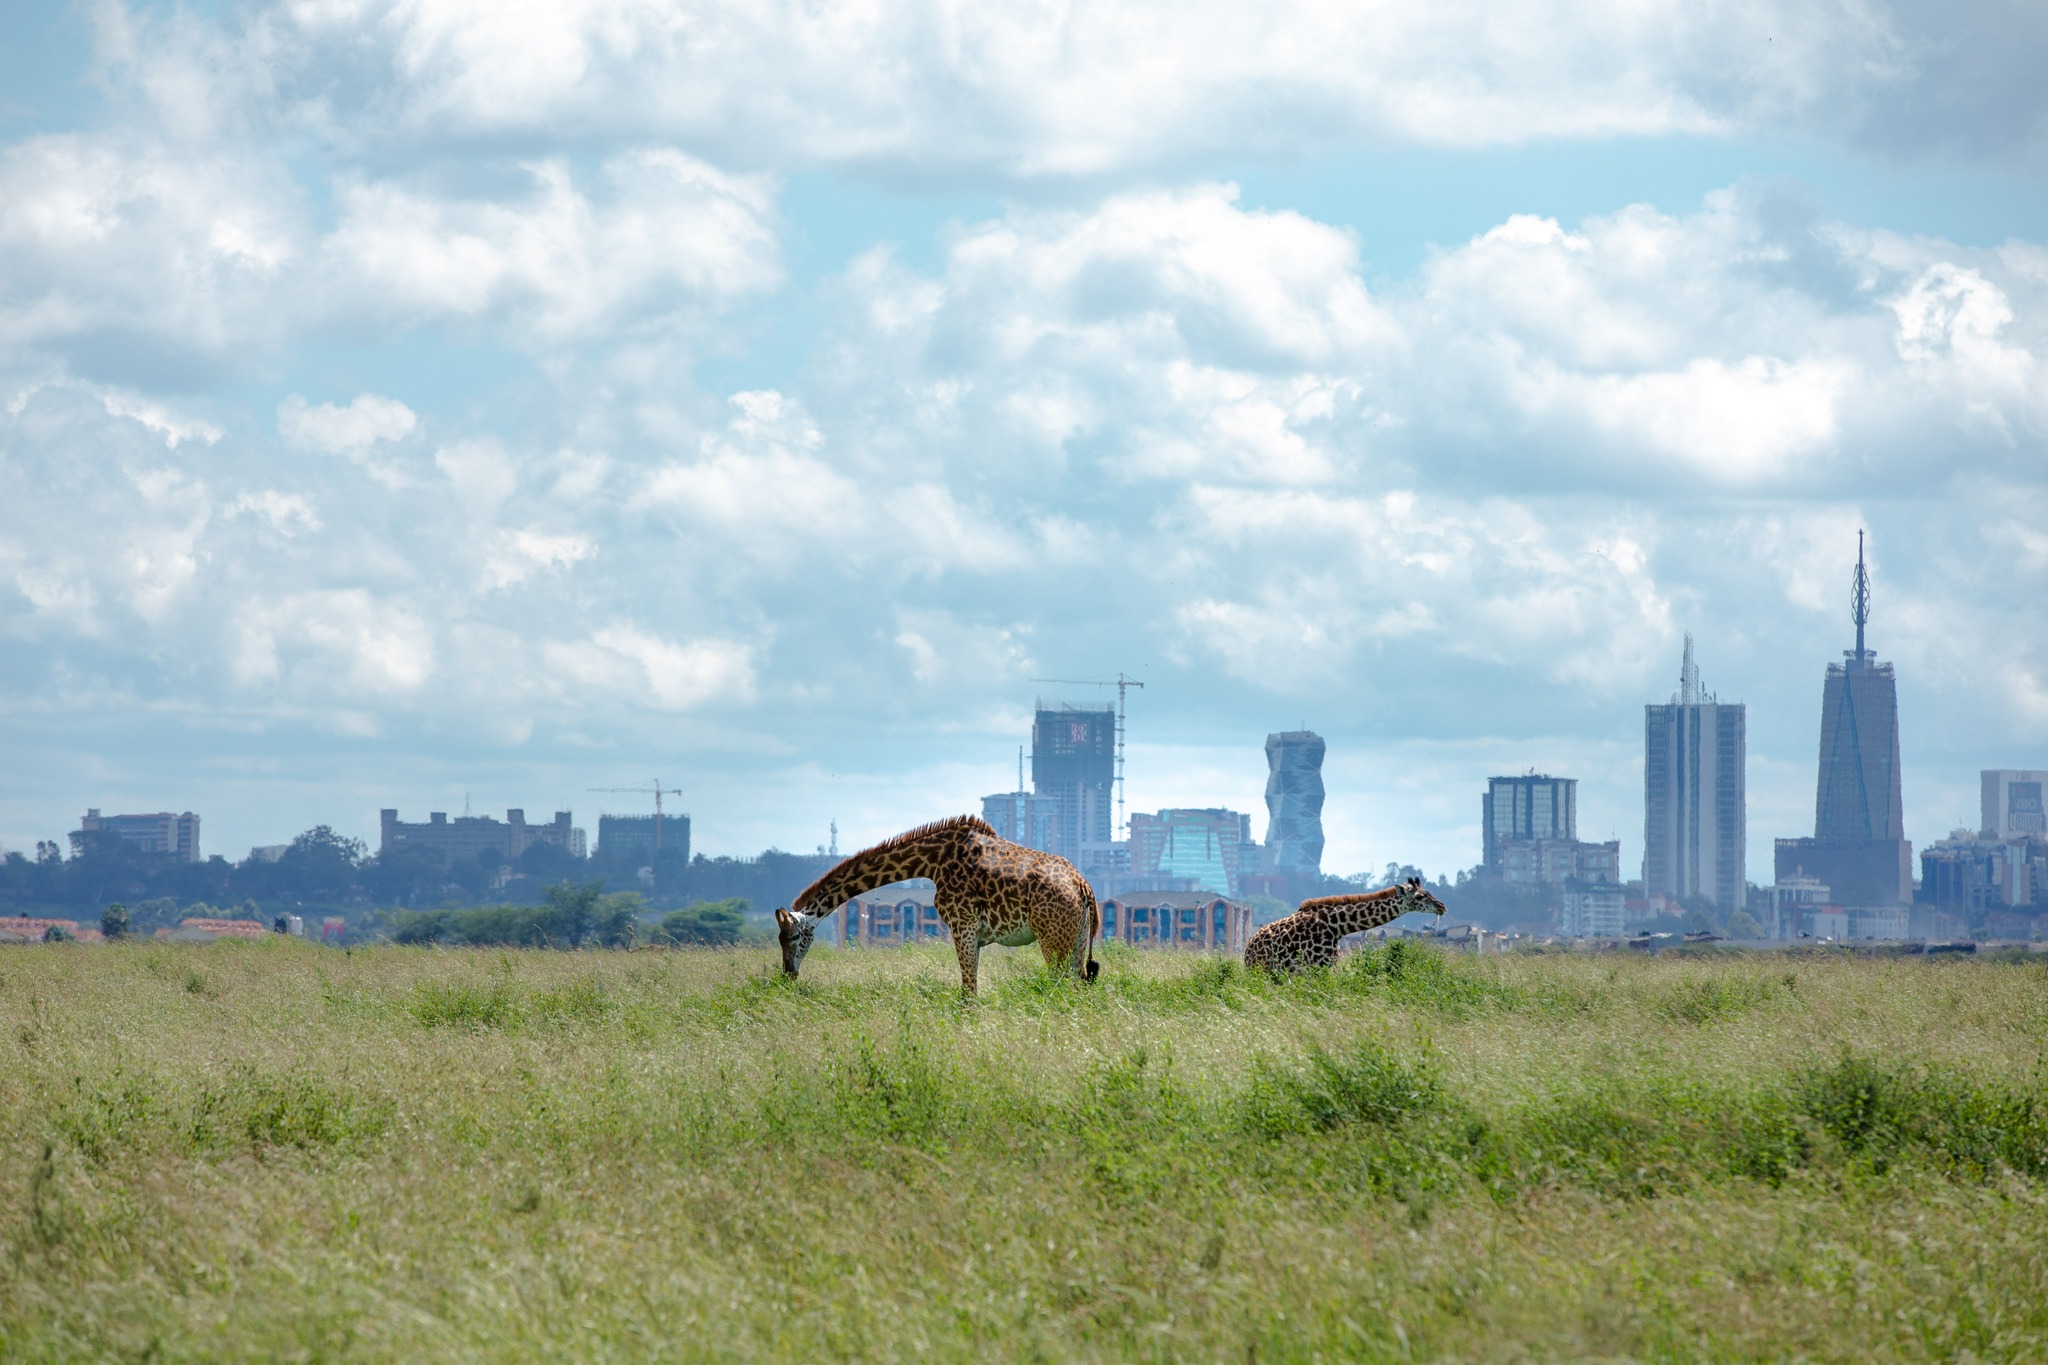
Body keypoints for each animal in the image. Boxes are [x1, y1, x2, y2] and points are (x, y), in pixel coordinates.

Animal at [770, 818, 1097, 998]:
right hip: (1077, 940)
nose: (788, 973)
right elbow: (970, 988)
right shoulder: (973, 935)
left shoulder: (963, 927)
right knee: (1077, 983)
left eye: (794, 937)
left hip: (1052, 940)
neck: (932, 861)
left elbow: (968, 992)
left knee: (1059, 984)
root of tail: (1084, 887)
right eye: (779, 939)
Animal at [1236, 879, 1449, 978]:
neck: (1336, 926)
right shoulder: (1313, 967)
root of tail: (1248, 946)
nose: (1442, 906)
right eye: (1420, 896)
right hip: (1260, 969)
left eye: (1429, 892)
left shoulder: (1326, 966)